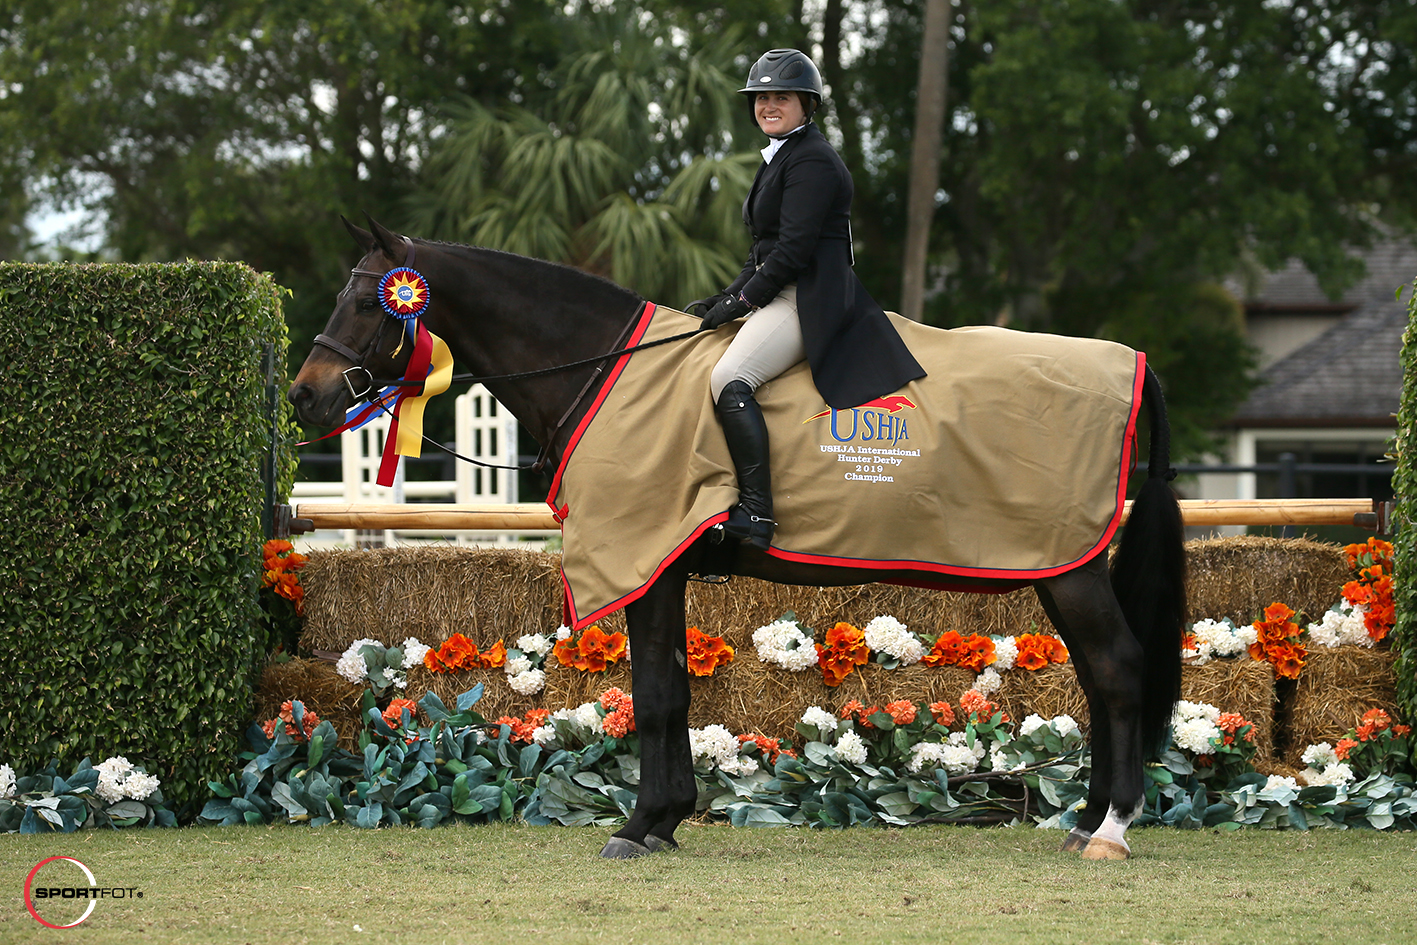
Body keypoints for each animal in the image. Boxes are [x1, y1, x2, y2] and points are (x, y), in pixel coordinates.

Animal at [287, 216, 1184, 867]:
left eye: (369, 303)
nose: (306, 396)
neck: (605, 369)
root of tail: (1132, 362)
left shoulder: (644, 564)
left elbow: (655, 696)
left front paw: (641, 823)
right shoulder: (664, 566)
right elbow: (676, 692)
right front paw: (665, 819)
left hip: (1067, 570)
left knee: (1117, 669)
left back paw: (1111, 828)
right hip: (1060, 566)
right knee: (1100, 678)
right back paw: (1088, 820)